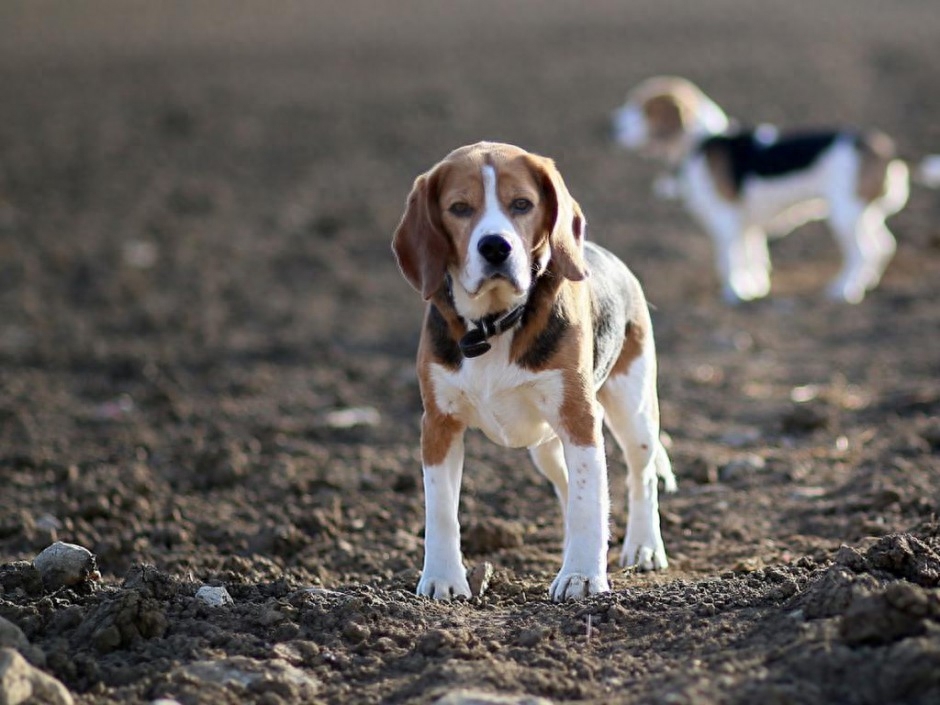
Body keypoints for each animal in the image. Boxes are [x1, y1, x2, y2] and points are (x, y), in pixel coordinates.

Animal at [392, 142, 676, 600]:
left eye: (522, 204)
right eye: (459, 208)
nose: (495, 247)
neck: (493, 323)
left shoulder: (579, 419)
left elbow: (588, 503)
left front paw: (582, 577)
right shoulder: (438, 423)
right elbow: (441, 511)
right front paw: (442, 579)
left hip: (632, 410)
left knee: (641, 476)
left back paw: (644, 547)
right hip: (545, 446)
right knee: (568, 487)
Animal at [608, 76, 912, 302]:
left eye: (644, 108)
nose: (610, 127)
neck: (701, 143)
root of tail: (882, 148)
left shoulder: (726, 221)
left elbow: (729, 260)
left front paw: (733, 293)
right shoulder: (747, 225)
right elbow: (752, 258)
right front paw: (754, 289)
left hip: (845, 214)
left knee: (864, 252)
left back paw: (844, 290)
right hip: (863, 214)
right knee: (884, 245)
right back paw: (867, 283)